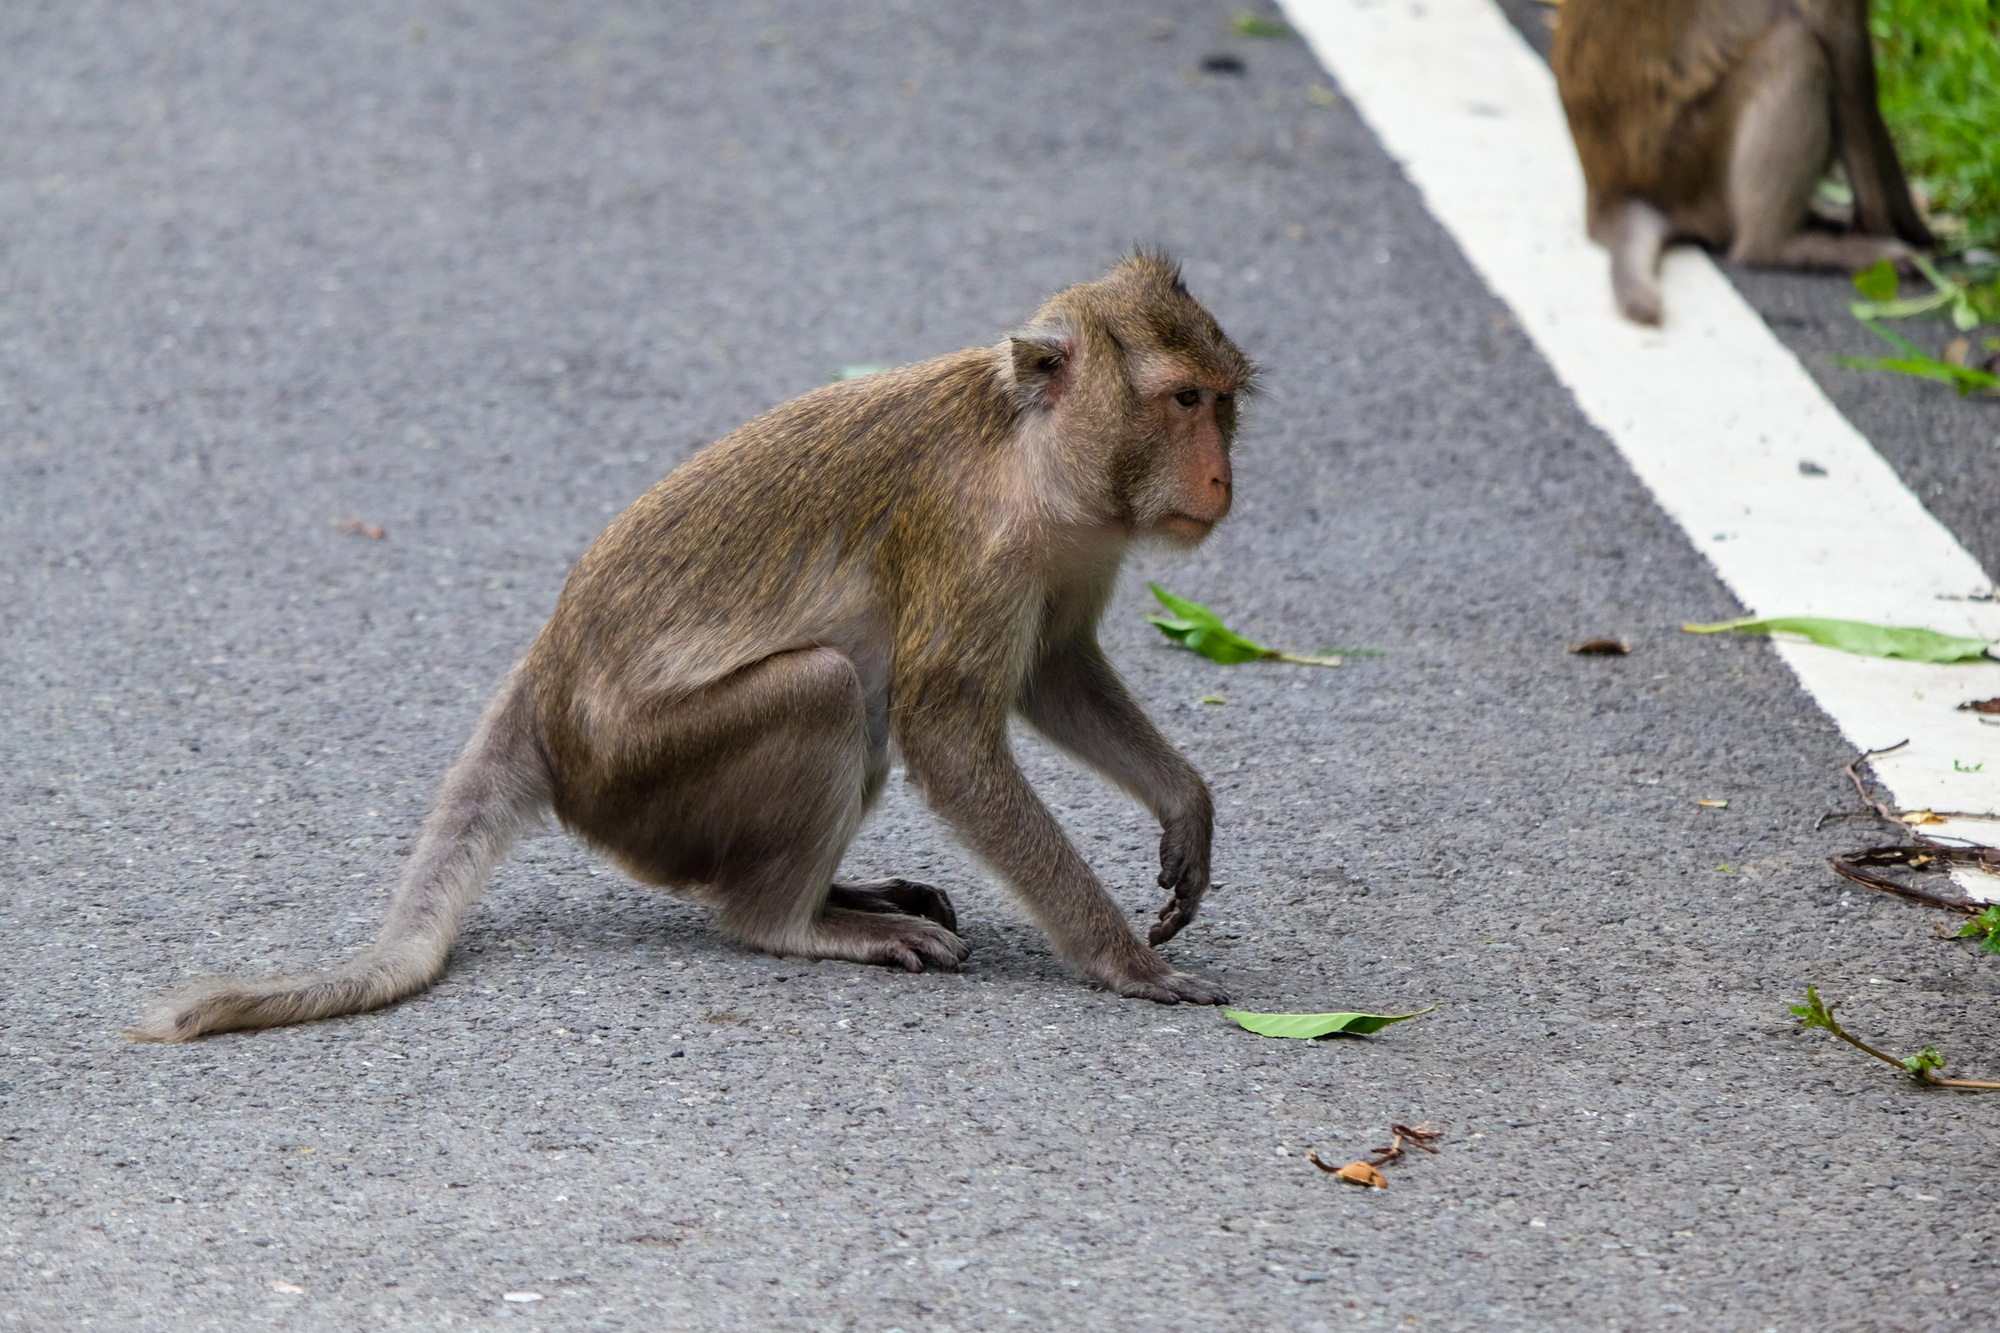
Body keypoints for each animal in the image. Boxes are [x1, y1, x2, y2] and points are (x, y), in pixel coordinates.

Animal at [137, 249, 1248, 1040]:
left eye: (1224, 400)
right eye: (1181, 400)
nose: (1222, 479)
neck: (1029, 456)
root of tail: (541, 692)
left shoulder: (1070, 554)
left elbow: (1055, 673)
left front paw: (1184, 805)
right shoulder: (972, 542)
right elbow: (948, 737)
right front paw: (1123, 962)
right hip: (646, 781)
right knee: (828, 688)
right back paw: (796, 919)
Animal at [1552, 0, 1928, 324]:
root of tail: (1606, 191)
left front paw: (1918, 229)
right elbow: (1843, 44)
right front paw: (1881, 223)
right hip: (1688, 156)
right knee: (1794, 50)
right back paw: (1777, 246)